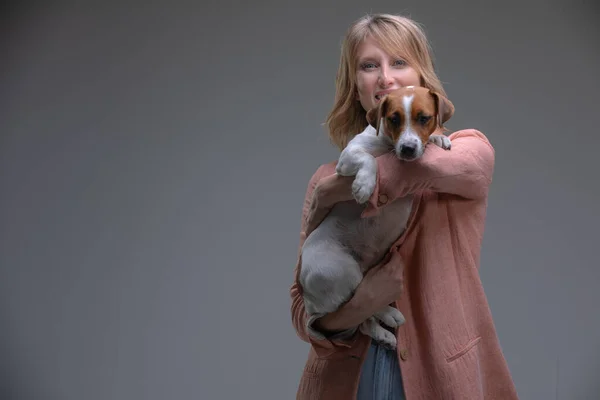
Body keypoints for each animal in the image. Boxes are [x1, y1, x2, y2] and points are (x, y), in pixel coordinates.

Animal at [300, 86, 454, 348]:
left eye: (424, 118)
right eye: (394, 119)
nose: (408, 149)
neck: (388, 145)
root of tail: (310, 298)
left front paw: (439, 138)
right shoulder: (348, 156)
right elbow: (369, 158)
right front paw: (364, 185)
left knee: (362, 317)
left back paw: (384, 334)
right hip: (341, 269)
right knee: (360, 300)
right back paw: (390, 314)